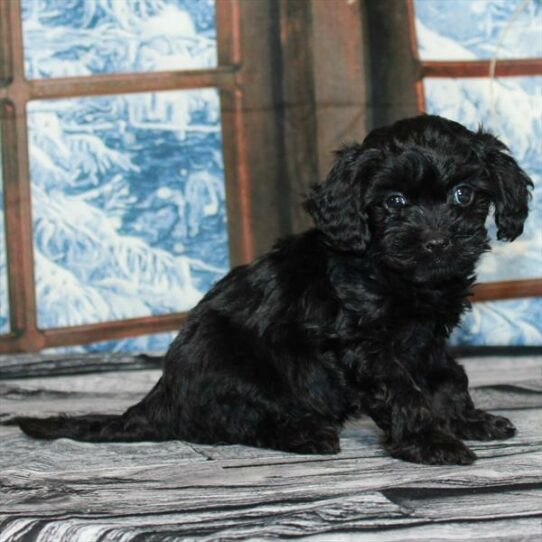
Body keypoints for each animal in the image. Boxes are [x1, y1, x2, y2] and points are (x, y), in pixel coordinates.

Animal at [19, 116, 532, 468]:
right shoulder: (366, 345)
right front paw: (432, 442)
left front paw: (468, 421)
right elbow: (403, 390)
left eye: (464, 195)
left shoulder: (427, 339)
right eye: (394, 202)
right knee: (235, 419)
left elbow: (447, 377)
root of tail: (160, 399)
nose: (436, 242)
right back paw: (303, 433)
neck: (391, 272)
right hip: (235, 365)